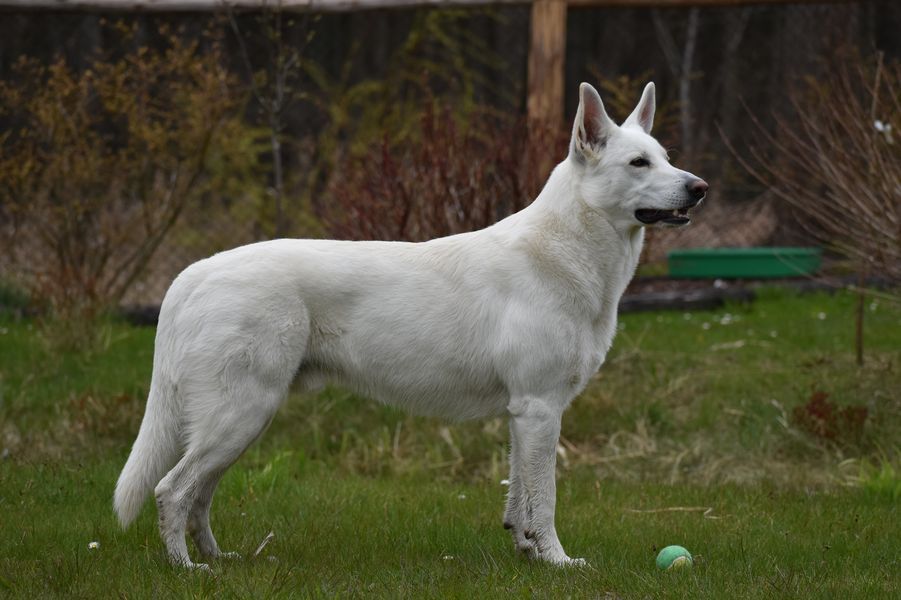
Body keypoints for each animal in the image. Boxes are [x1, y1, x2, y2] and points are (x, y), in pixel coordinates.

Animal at [114, 82, 704, 568]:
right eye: (638, 163)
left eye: (666, 159)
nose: (699, 187)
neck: (566, 250)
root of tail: (191, 275)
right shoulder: (540, 409)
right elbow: (547, 500)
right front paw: (558, 563)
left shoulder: (524, 413)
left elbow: (520, 500)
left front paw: (528, 554)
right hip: (240, 415)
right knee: (172, 491)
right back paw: (187, 570)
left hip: (240, 422)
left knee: (198, 496)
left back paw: (222, 560)